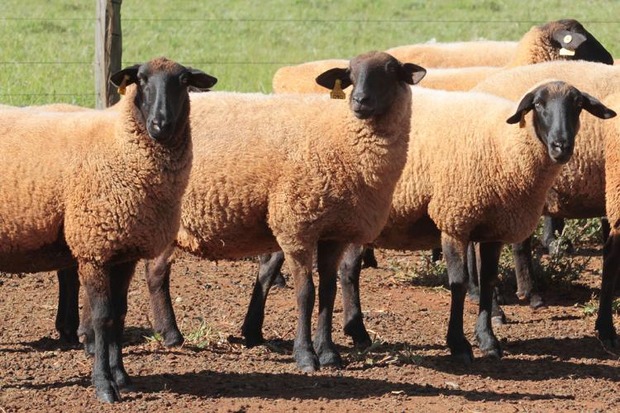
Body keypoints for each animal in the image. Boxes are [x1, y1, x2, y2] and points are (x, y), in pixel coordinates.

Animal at [0, 56, 218, 400]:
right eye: (141, 80)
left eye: (183, 81)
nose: (161, 125)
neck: (118, 143)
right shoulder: (95, 249)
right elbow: (102, 318)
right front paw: (104, 385)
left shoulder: (124, 251)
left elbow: (119, 314)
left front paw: (122, 377)